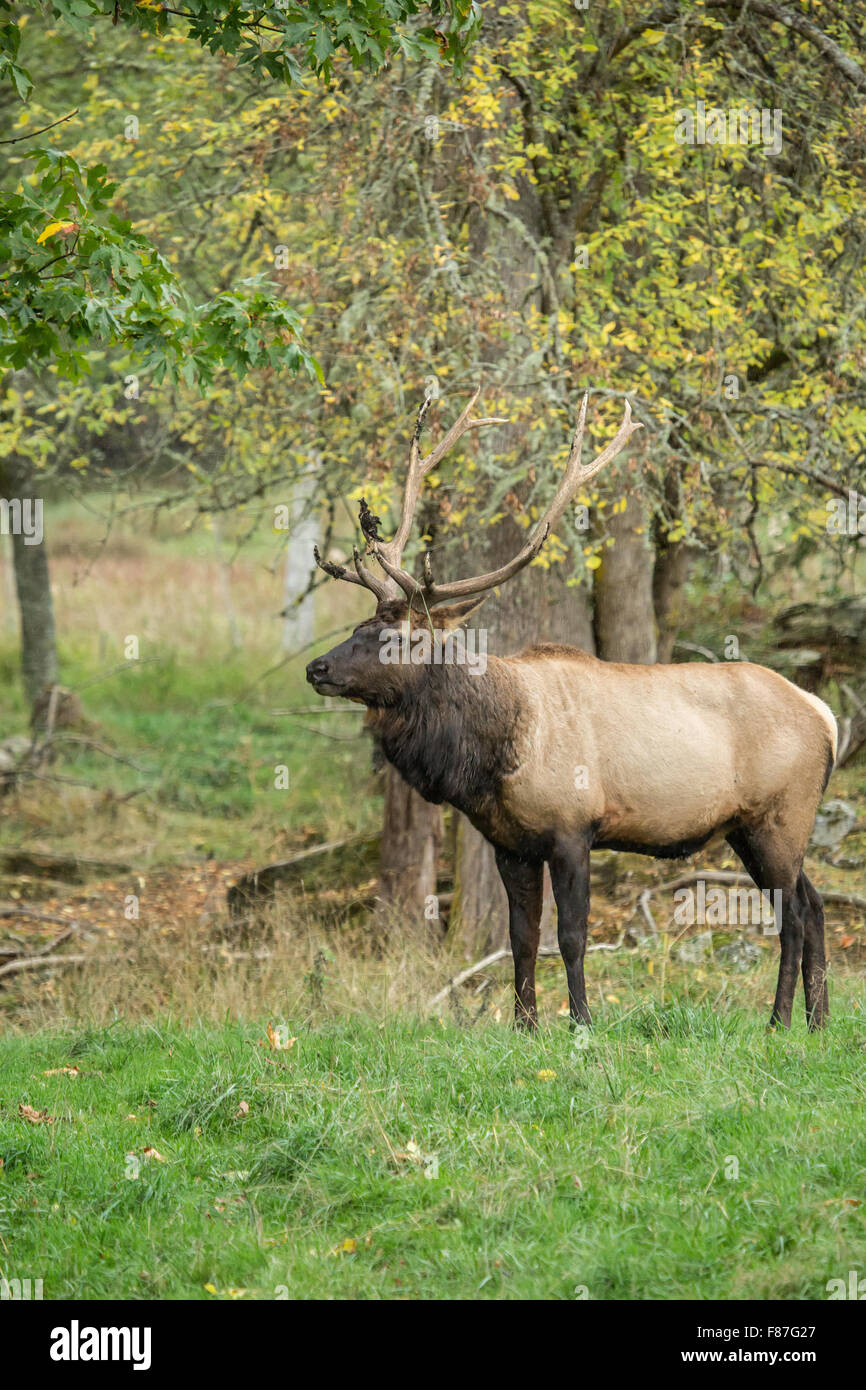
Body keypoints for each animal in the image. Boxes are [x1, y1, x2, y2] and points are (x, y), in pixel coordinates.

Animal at [307, 391, 839, 1034]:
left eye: (395, 639)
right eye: (358, 627)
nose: (317, 668)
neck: (492, 757)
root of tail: (826, 715)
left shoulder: (573, 827)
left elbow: (571, 936)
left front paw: (580, 1022)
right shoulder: (509, 843)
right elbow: (520, 938)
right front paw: (524, 1026)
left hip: (779, 816)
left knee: (793, 915)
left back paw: (779, 1020)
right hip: (755, 827)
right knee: (814, 905)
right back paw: (817, 1020)